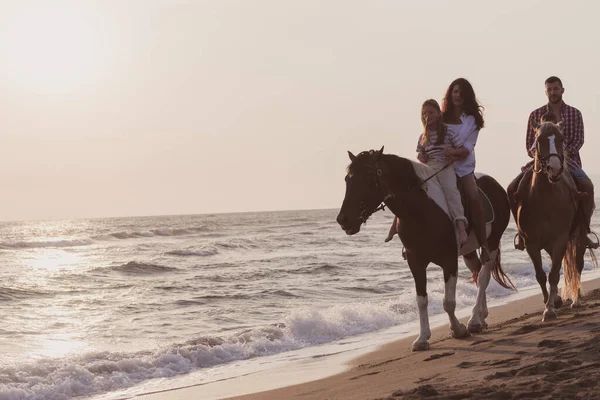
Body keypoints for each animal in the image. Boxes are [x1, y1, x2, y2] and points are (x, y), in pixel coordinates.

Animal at [336, 147, 512, 350]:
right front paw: (422, 338)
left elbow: (448, 302)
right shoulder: (415, 262)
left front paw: (457, 329)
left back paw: (474, 320)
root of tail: (495, 184)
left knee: (483, 277)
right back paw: (481, 317)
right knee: (477, 272)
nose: (343, 219)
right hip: (468, 251)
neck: (420, 211)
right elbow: (421, 300)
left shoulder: (449, 260)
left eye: (367, 179)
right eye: (347, 179)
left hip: (492, 242)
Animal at [512, 119, 596, 318]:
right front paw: (549, 303)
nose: (555, 169)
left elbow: (554, 274)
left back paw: (576, 300)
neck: (545, 198)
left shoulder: (561, 239)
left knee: (577, 265)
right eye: (539, 140)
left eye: (561, 139)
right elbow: (541, 275)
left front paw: (549, 309)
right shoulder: (531, 243)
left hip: (578, 238)